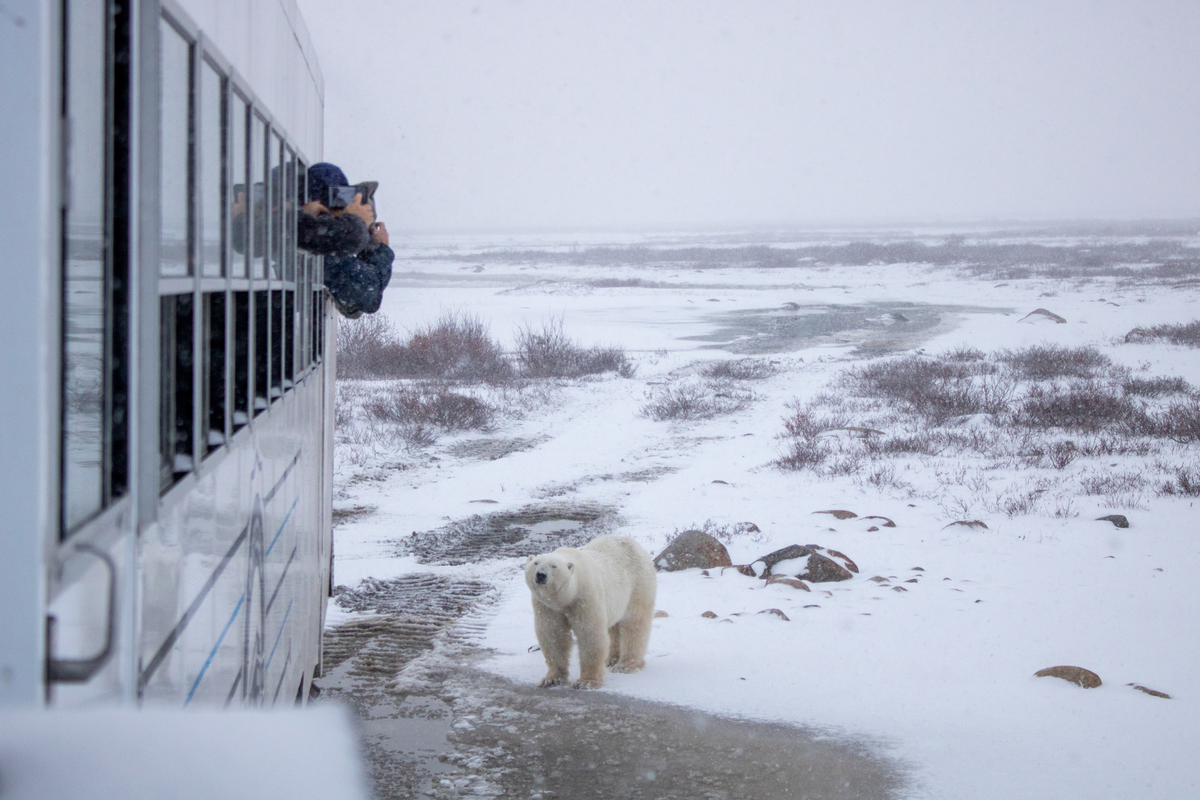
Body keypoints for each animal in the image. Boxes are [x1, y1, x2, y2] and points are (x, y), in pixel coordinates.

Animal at [524, 534, 657, 689]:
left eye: (554, 566)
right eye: (535, 563)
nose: (541, 574)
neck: (566, 597)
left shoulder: (585, 597)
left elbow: (590, 634)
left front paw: (586, 682)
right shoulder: (548, 607)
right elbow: (553, 635)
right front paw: (551, 679)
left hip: (638, 584)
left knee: (635, 624)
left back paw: (625, 665)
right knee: (614, 626)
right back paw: (611, 659)